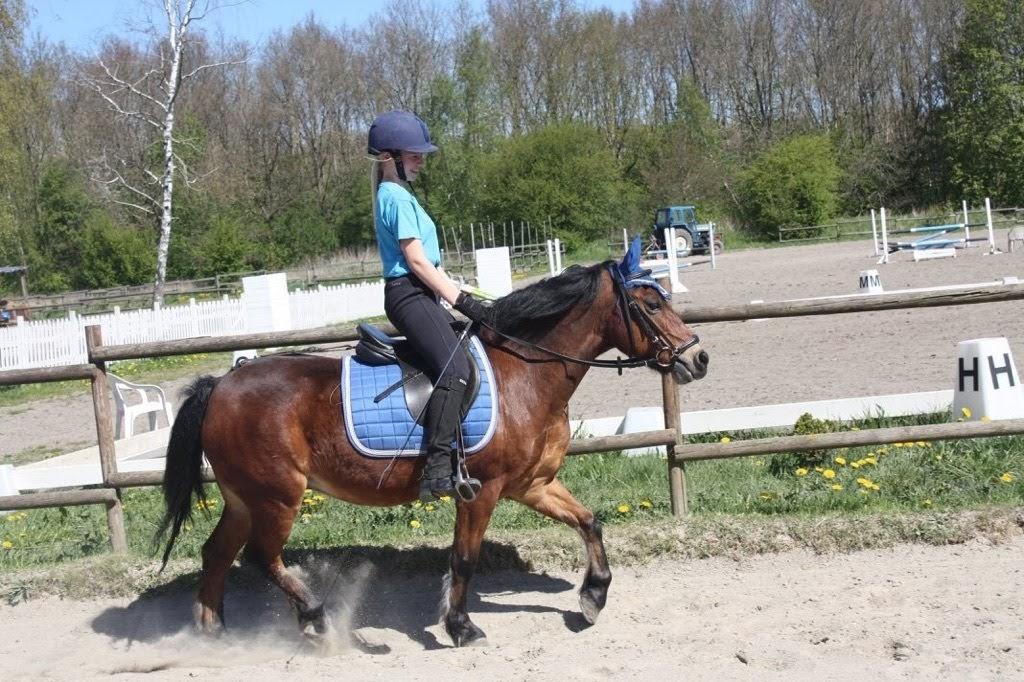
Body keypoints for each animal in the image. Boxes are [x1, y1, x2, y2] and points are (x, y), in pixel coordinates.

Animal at [157, 253, 704, 643]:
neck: (525, 374)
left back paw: (212, 632)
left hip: (244, 497)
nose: (698, 358)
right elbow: (463, 559)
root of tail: (221, 385)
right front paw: (460, 626)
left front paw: (593, 595)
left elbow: (590, 521)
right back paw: (315, 617)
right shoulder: (481, 491)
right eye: (651, 305)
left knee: (216, 553)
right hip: (277, 497)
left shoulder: (533, 484)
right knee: (260, 557)